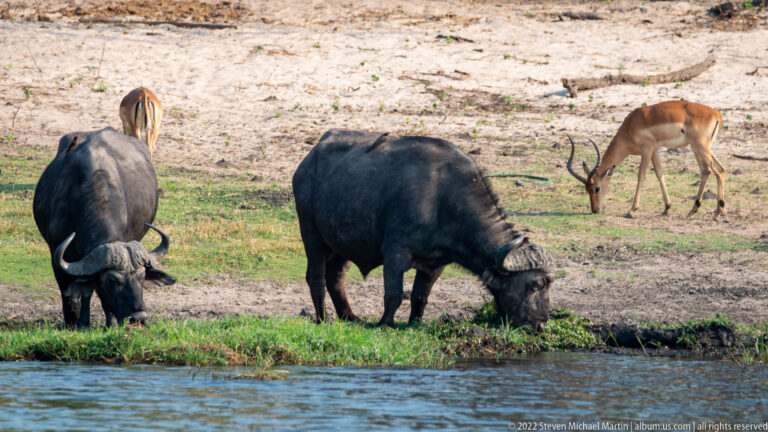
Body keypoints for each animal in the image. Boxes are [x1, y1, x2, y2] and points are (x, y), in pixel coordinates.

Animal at [33, 127, 174, 328]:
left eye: (141, 276)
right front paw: (76, 323)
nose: (138, 317)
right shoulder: (56, 253)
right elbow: (72, 292)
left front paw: (110, 323)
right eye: (112, 280)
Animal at [293, 129, 554, 329]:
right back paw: (322, 319)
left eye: (548, 284)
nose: (540, 325)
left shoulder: (436, 263)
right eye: (535, 285)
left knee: (335, 278)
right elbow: (394, 294)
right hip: (311, 234)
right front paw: (385, 324)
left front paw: (414, 323)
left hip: (344, 244)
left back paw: (350, 317)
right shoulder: (395, 252)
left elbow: (421, 296)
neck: (444, 198)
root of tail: (307, 161)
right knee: (315, 278)